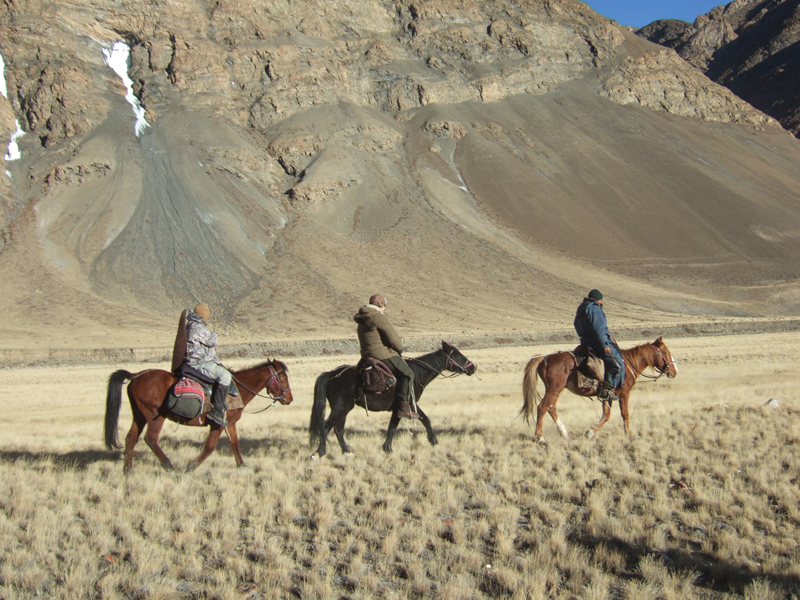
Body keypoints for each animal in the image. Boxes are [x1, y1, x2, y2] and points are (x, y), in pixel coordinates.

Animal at [104, 358, 292, 472]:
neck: (236, 390)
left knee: (131, 438)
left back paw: (128, 470)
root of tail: (136, 376)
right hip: (154, 416)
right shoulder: (218, 424)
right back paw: (169, 465)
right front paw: (191, 466)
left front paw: (242, 464)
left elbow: (235, 444)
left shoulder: (230, 423)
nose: (289, 398)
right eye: (283, 378)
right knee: (150, 438)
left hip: (139, 415)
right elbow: (209, 447)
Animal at [310, 342, 478, 454]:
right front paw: (433, 440)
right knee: (325, 427)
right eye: (456, 355)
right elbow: (422, 420)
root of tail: (331, 374)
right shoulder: (407, 404)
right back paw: (320, 452)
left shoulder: (401, 407)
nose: (473, 368)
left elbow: (394, 426)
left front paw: (387, 448)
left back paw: (346, 451)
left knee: (338, 429)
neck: (415, 374)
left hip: (343, 409)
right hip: (341, 408)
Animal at [520, 338, 676, 446]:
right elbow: (625, 413)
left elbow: (606, 415)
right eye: (667, 352)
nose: (674, 372)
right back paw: (541, 438)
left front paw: (590, 432)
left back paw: (563, 432)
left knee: (551, 407)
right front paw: (631, 434)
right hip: (554, 389)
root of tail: (544, 358)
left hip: (555, 390)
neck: (627, 365)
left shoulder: (607, 396)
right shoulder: (624, 393)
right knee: (542, 407)